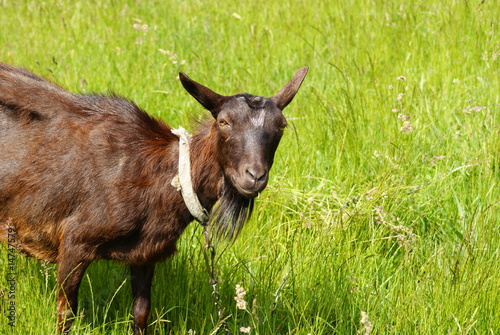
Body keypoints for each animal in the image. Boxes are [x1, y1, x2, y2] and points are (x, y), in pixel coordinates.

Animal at [0, 62, 308, 334]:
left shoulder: (145, 254)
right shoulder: (75, 242)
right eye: (223, 121)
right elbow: (66, 313)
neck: (164, 179)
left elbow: (141, 312)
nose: (254, 176)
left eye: (281, 125)